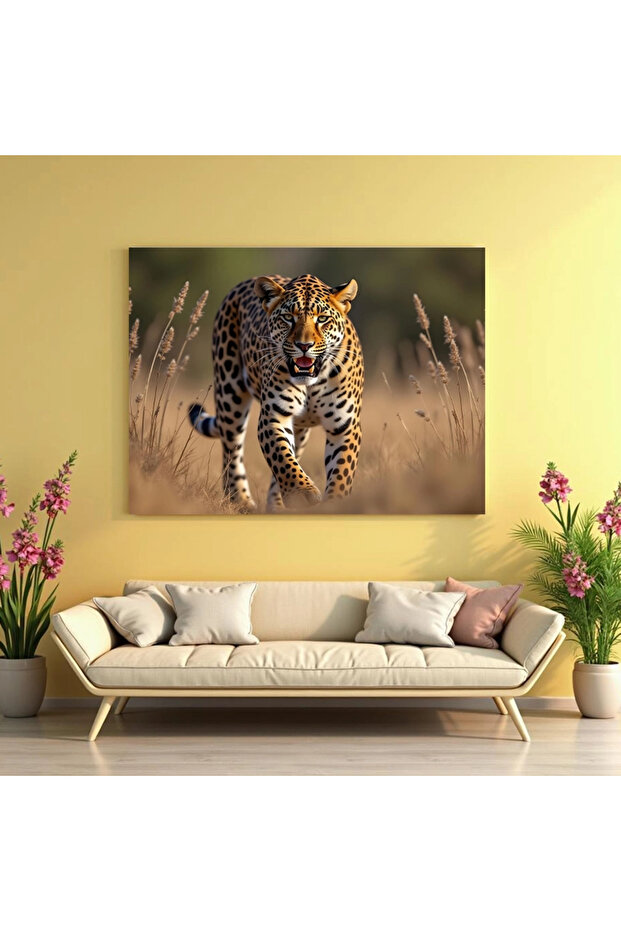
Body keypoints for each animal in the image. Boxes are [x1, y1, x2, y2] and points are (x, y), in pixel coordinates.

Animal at [188, 273, 364, 512]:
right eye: (288, 318)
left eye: (322, 319)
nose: (304, 345)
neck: (311, 383)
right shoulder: (273, 417)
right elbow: (282, 459)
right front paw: (303, 493)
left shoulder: (345, 425)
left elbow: (342, 470)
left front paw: (335, 502)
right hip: (229, 394)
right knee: (232, 452)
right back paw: (242, 501)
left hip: (299, 430)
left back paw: (276, 506)